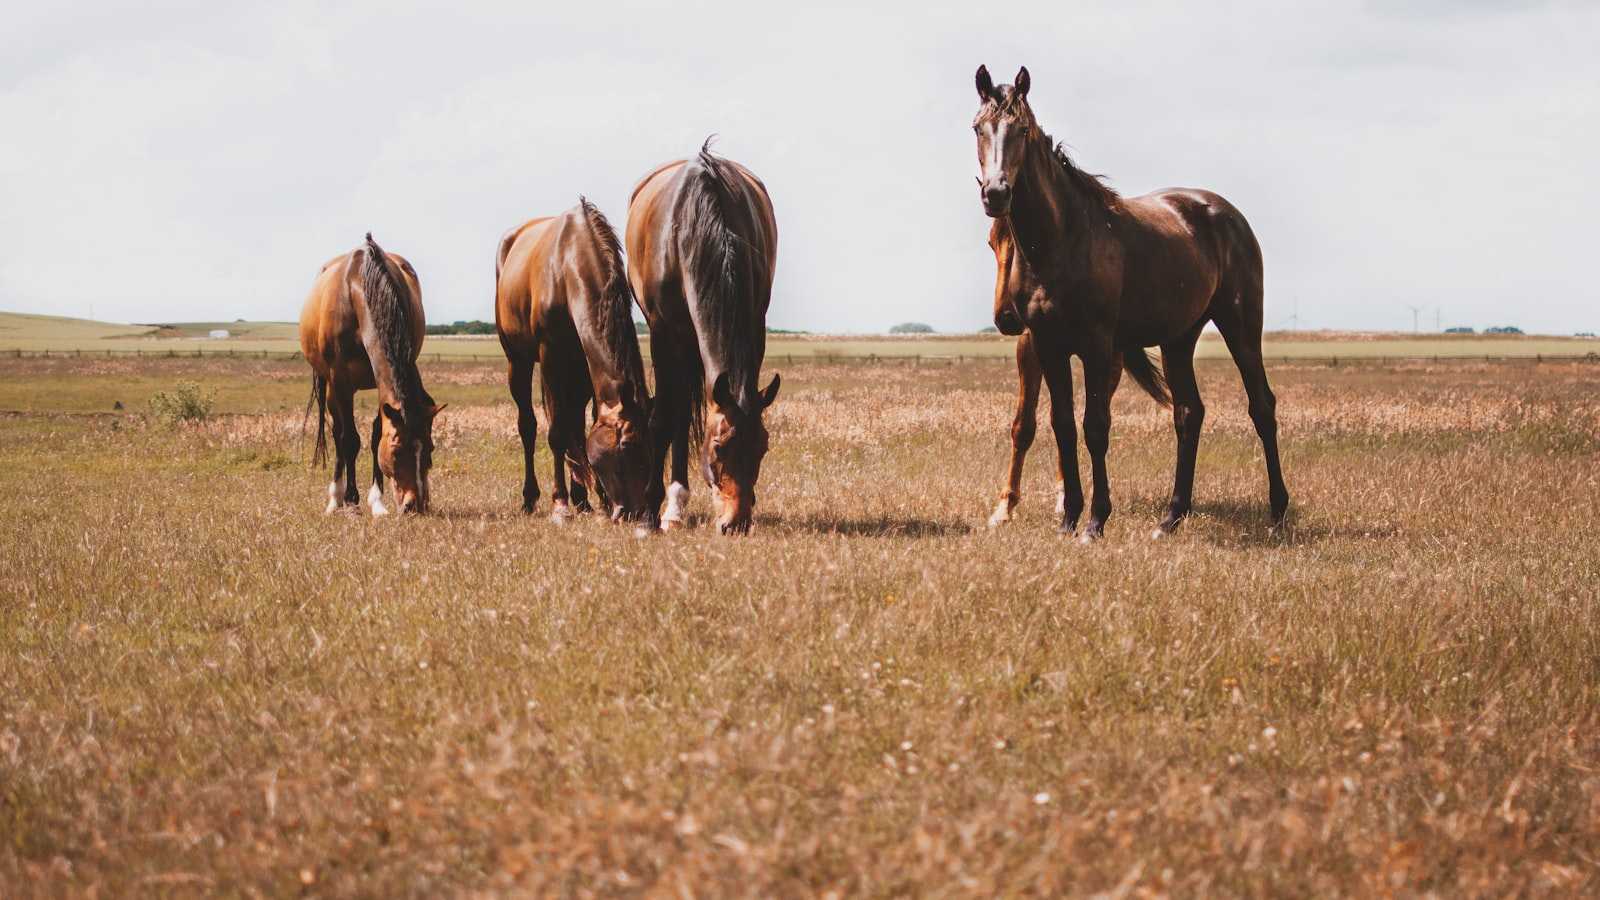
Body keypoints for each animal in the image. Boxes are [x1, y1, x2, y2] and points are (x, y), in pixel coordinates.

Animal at [300, 230, 444, 512]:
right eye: (397, 451)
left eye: (431, 448)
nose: (415, 505)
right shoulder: (340, 380)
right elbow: (349, 439)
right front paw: (350, 500)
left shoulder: (381, 382)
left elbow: (376, 434)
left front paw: (377, 501)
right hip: (330, 386)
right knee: (337, 433)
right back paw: (336, 497)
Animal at [496, 195, 652, 518]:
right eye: (624, 449)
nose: (634, 512)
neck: (568, 267)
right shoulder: (551, 357)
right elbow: (556, 431)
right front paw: (560, 500)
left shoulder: (583, 364)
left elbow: (582, 425)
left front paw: (595, 498)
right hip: (518, 360)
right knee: (528, 426)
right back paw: (531, 498)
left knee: (574, 425)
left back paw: (582, 498)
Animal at [624, 140, 780, 531]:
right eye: (719, 447)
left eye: (763, 447)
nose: (735, 522)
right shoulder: (664, 331)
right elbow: (663, 417)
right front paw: (648, 515)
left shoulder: (754, 324)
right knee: (678, 410)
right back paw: (671, 508)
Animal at [966, 66, 1292, 538]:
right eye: (978, 127)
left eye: (1022, 129)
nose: (996, 193)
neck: (1063, 240)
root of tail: (1225, 213)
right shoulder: (1048, 345)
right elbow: (1063, 426)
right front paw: (1068, 519)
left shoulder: (1099, 346)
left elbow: (1095, 427)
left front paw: (1095, 522)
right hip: (1179, 339)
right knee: (1189, 413)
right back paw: (1171, 517)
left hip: (1241, 327)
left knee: (1262, 406)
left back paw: (1278, 512)